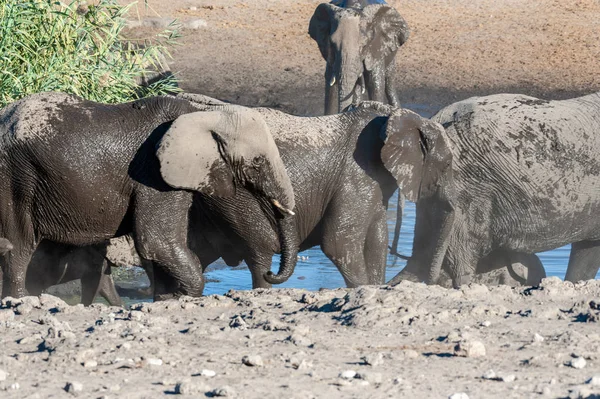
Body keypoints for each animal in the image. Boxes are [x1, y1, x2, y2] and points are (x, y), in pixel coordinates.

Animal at [0, 92, 296, 302]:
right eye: (257, 162)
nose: (271, 273)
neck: (203, 115)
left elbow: (164, 245)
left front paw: (166, 298)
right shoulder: (154, 174)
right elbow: (157, 242)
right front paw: (180, 296)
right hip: (15, 177)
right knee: (18, 249)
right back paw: (20, 300)